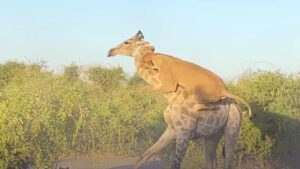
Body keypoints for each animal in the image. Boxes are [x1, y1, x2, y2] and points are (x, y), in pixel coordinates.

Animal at [107, 31, 241, 168]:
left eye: (126, 42)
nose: (110, 52)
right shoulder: (171, 129)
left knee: (228, 162)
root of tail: (235, 105)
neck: (172, 96)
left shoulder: (184, 133)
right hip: (212, 136)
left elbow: (175, 164)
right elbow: (143, 156)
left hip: (232, 131)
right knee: (210, 162)